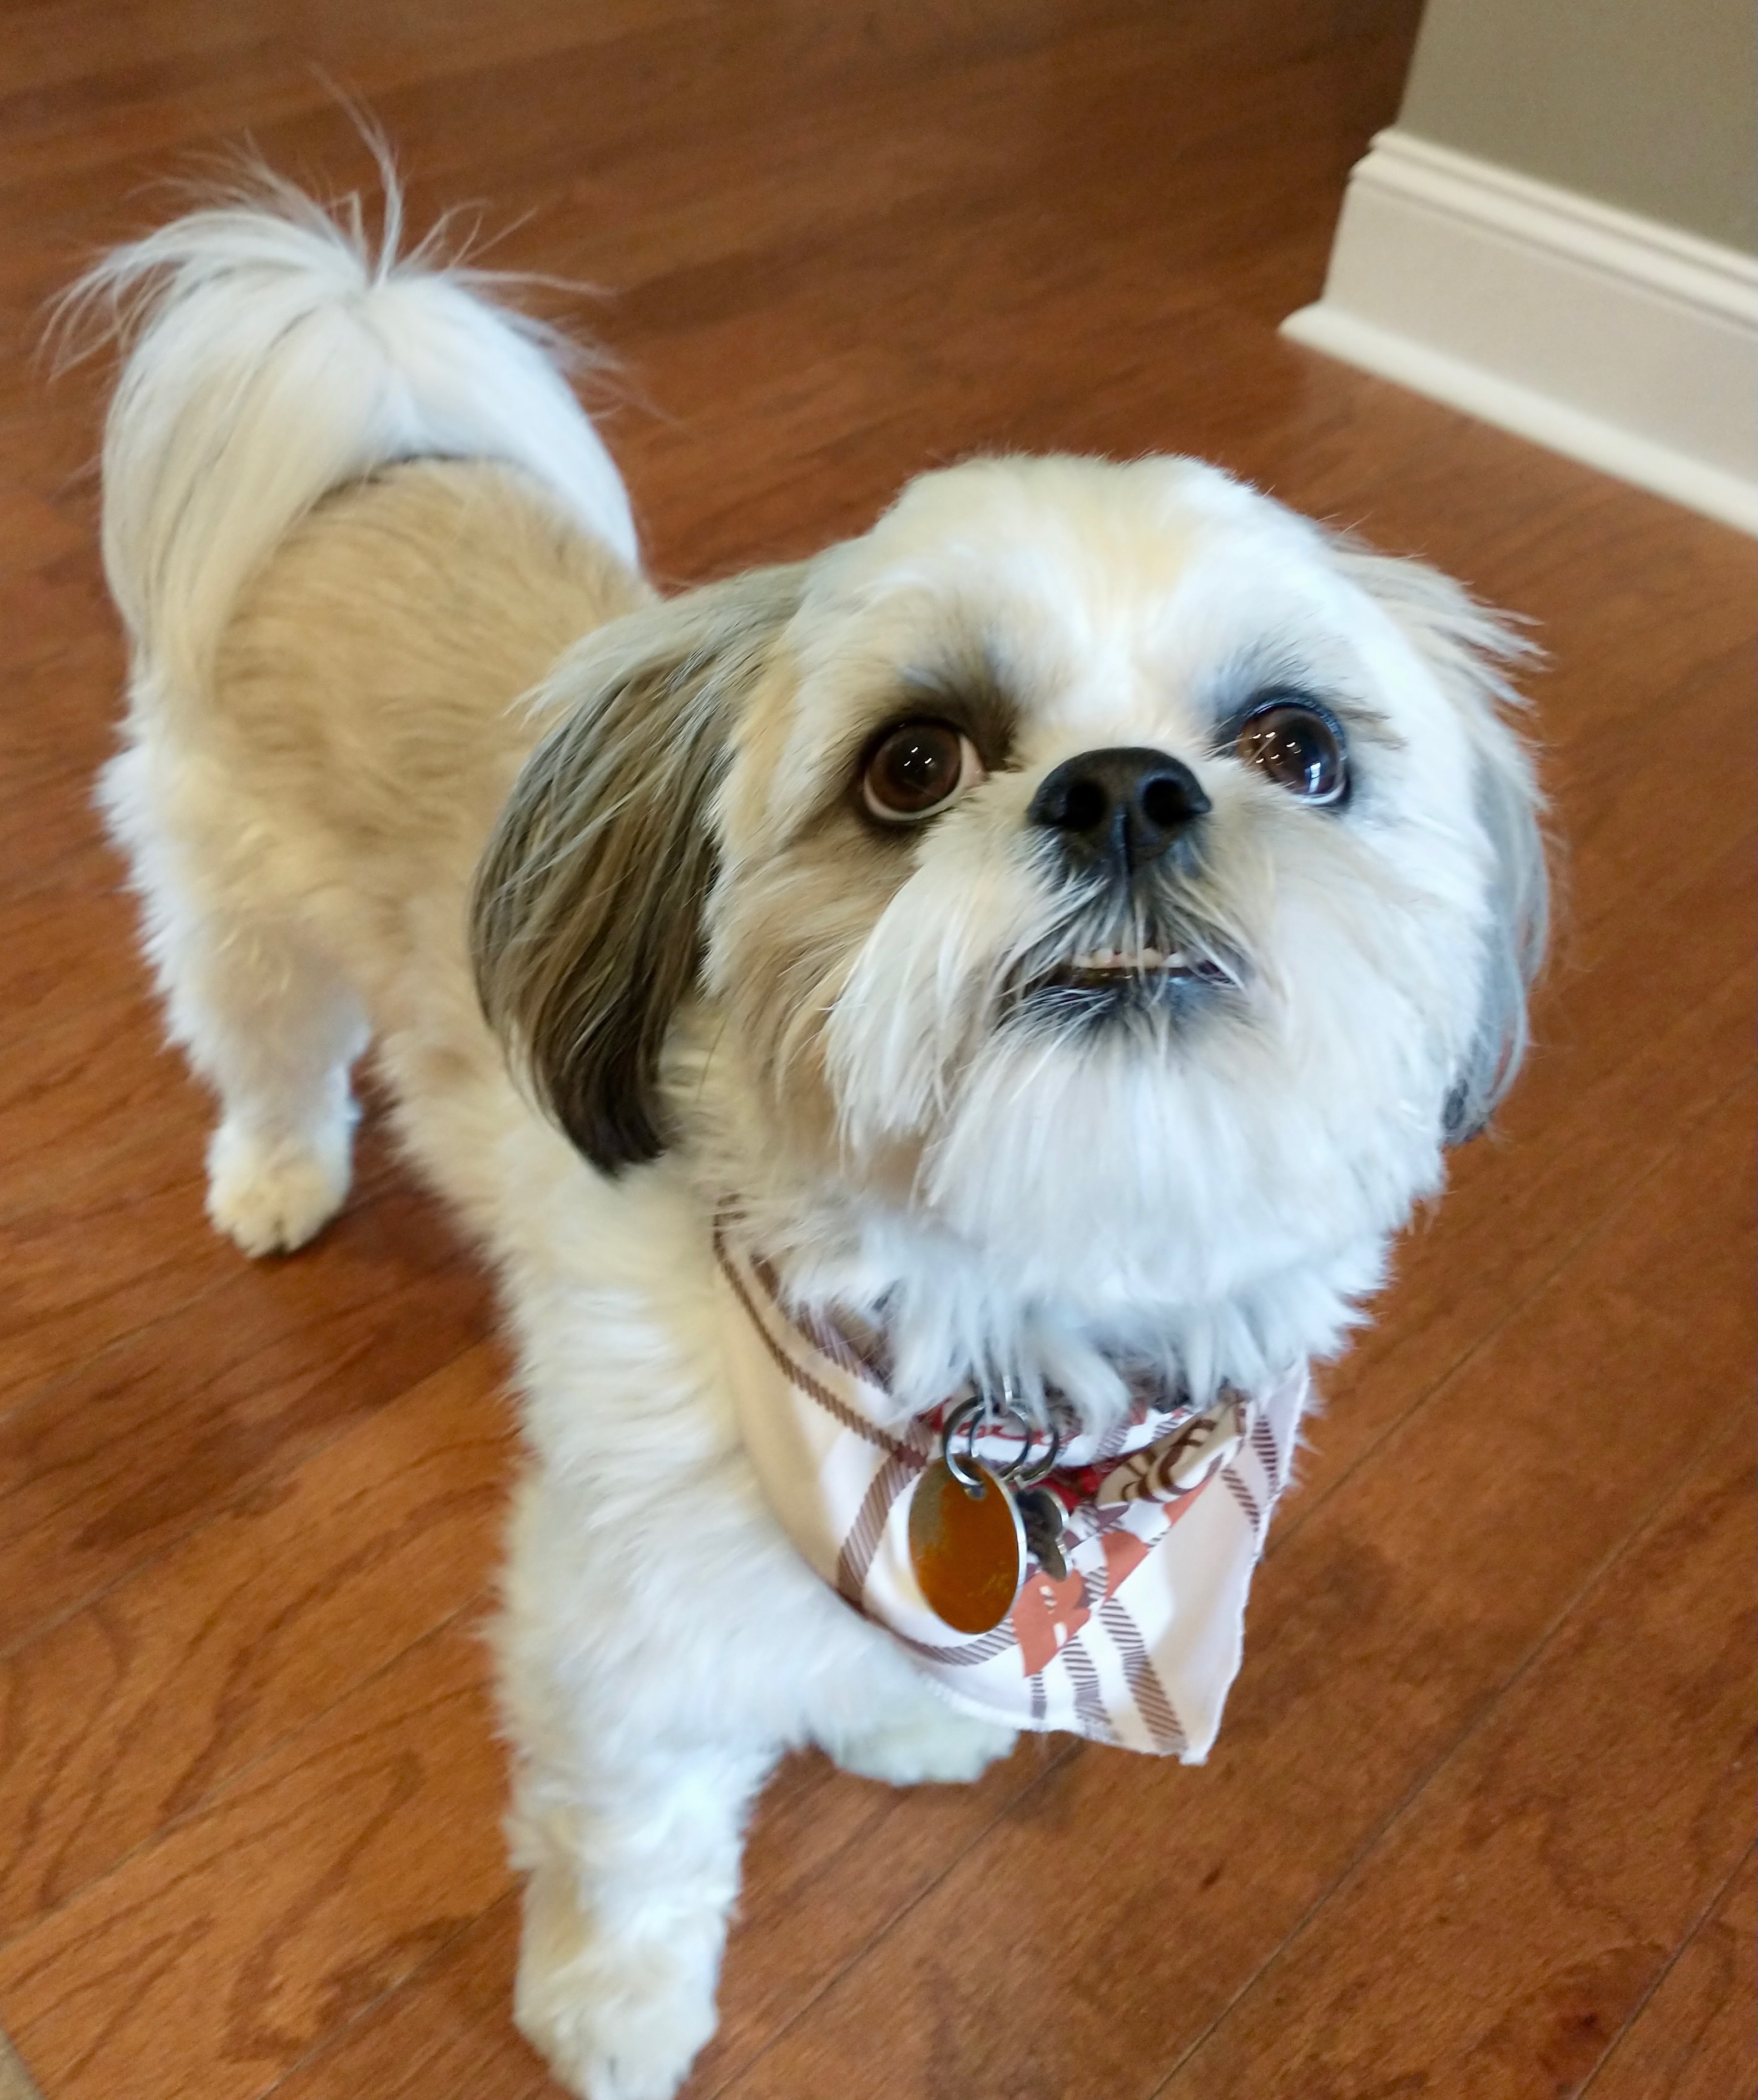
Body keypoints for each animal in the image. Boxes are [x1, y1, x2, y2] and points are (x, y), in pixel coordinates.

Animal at [76, 173, 1545, 2100]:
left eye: (1297, 747)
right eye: (912, 765)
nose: (1128, 790)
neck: (988, 1364)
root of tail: (379, 445)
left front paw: (902, 1723)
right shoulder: (631, 1640)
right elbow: (636, 1849)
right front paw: (612, 2017)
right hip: (240, 912)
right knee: (267, 1053)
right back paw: (275, 1178)